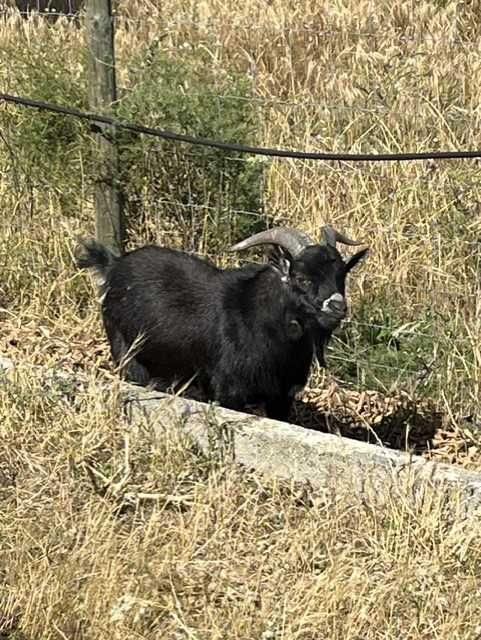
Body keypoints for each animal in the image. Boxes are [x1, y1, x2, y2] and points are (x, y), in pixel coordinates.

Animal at [76, 226, 368, 421]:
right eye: (301, 277)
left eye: (341, 276)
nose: (337, 307)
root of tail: (113, 266)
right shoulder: (228, 393)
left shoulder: (282, 396)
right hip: (126, 355)